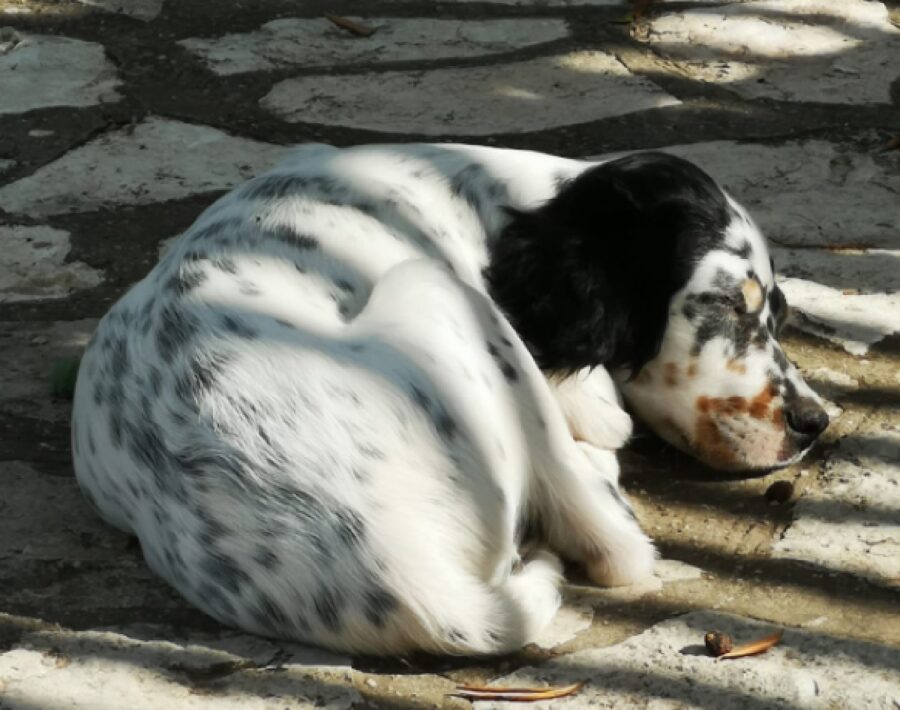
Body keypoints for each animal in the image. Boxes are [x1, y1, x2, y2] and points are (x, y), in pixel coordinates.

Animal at [72, 143, 828, 656]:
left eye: (777, 310)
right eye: (727, 305)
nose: (814, 423)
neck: (489, 201)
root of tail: (385, 553)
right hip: (445, 292)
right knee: (610, 540)